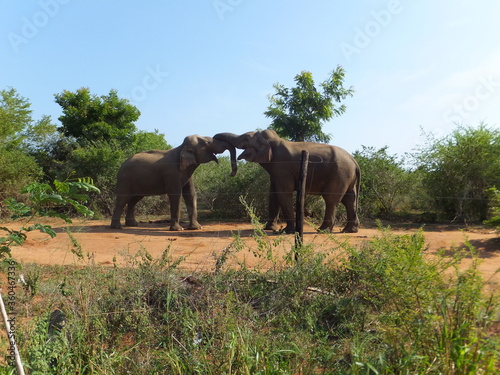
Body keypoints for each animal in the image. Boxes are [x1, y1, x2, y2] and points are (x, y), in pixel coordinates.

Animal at [214, 131, 360, 234]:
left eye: (246, 139)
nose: (231, 173)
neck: (274, 141)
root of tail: (354, 161)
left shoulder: (282, 167)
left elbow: (283, 193)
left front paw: (285, 231)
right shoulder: (276, 172)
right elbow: (273, 194)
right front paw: (268, 228)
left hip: (340, 174)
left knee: (331, 199)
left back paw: (322, 230)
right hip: (347, 177)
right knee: (349, 200)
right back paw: (349, 230)